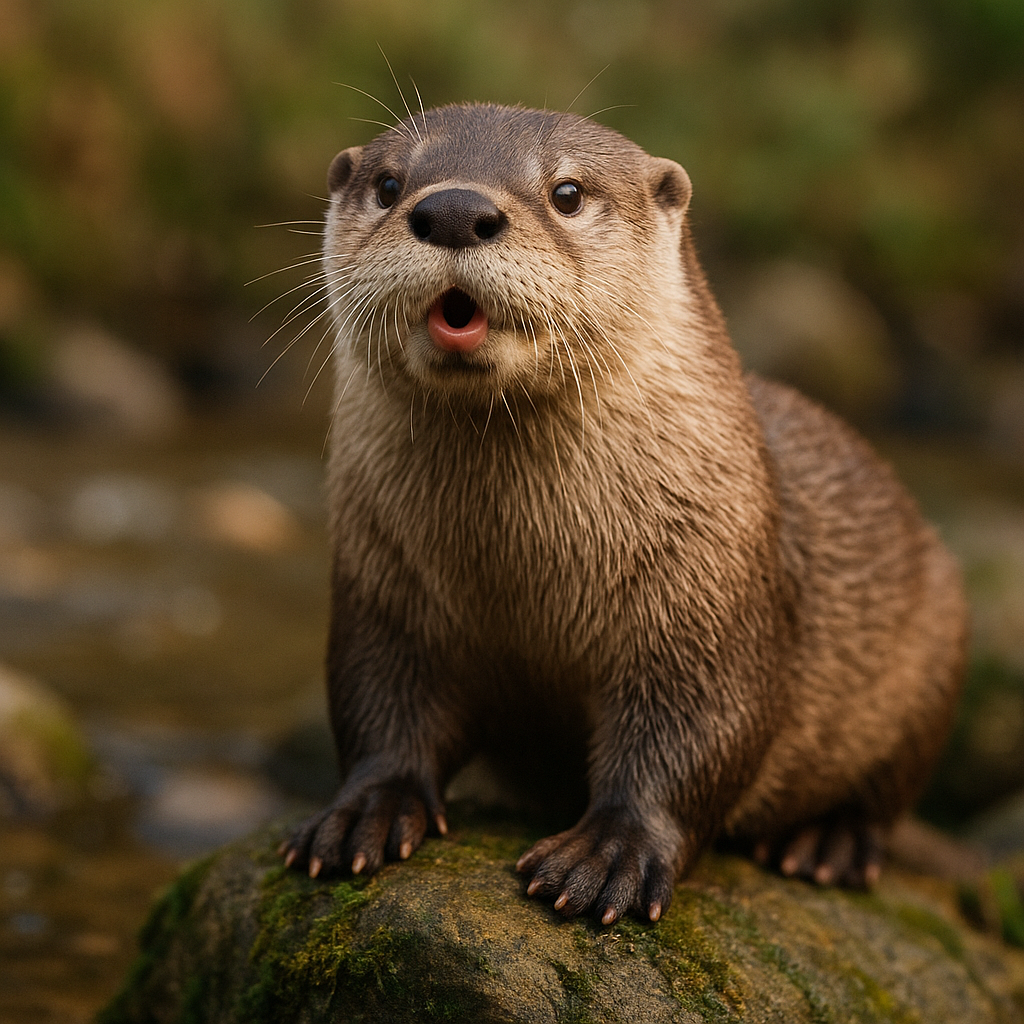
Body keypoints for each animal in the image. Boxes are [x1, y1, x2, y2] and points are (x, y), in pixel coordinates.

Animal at [280, 103, 967, 925]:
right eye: (389, 185)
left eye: (568, 192)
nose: (452, 210)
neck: (519, 573)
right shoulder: (383, 590)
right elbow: (379, 704)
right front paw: (365, 811)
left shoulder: (709, 601)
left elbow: (700, 730)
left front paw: (612, 853)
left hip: (933, 647)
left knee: (886, 791)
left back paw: (827, 843)